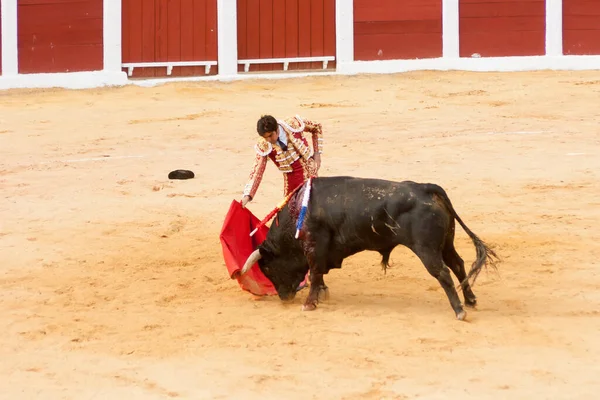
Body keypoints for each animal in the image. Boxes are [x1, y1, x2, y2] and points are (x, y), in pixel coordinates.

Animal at [237, 177, 500, 320]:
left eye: (268, 269)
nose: (284, 298)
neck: (297, 213)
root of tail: (425, 187)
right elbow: (318, 275)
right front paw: (321, 295)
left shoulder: (314, 246)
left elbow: (314, 274)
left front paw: (309, 303)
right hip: (446, 243)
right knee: (457, 264)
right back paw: (470, 300)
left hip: (426, 249)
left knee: (443, 272)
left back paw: (459, 310)